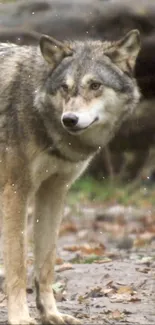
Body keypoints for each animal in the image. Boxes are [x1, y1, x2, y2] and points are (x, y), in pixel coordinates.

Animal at [0, 29, 140, 322]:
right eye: (64, 87)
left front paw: (51, 314)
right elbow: (18, 263)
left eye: (95, 85)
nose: (70, 119)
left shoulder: (53, 191)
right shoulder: (15, 190)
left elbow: (46, 263)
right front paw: (20, 318)